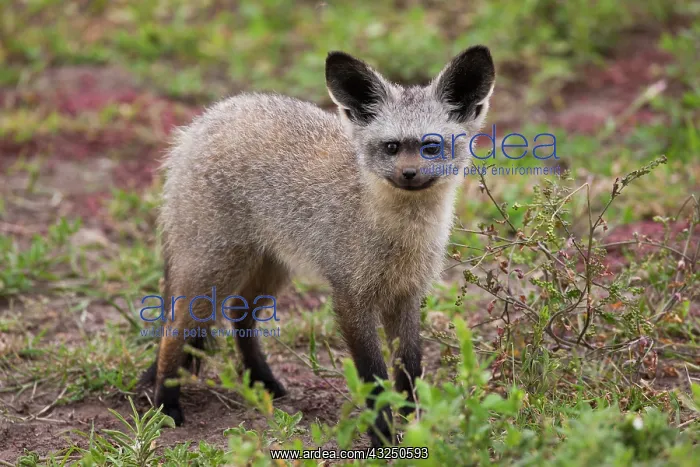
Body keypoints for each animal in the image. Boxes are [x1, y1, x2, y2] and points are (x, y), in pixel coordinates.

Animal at [143, 45, 495, 447]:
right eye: (391, 147)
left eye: (431, 146)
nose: (408, 175)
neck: (399, 238)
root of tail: (202, 122)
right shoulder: (350, 298)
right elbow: (375, 379)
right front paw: (383, 437)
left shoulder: (407, 296)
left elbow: (409, 371)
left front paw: (417, 426)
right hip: (212, 271)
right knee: (173, 333)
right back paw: (166, 405)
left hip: (270, 271)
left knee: (238, 316)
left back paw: (263, 381)